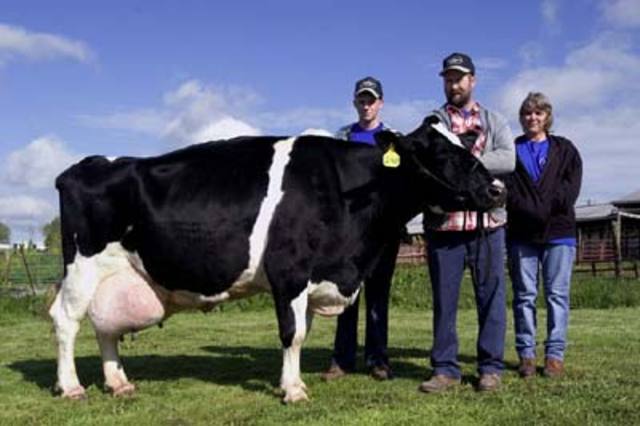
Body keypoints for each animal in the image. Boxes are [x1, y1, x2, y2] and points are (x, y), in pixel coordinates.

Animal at [49, 116, 505, 403]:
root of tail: (81, 166)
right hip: (82, 266)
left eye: (465, 145)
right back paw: (70, 387)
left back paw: (118, 383)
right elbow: (293, 334)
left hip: (115, 275)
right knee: (66, 320)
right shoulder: (289, 272)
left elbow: (301, 331)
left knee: (105, 327)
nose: (497, 189)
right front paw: (294, 390)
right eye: (443, 154)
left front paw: (292, 381)